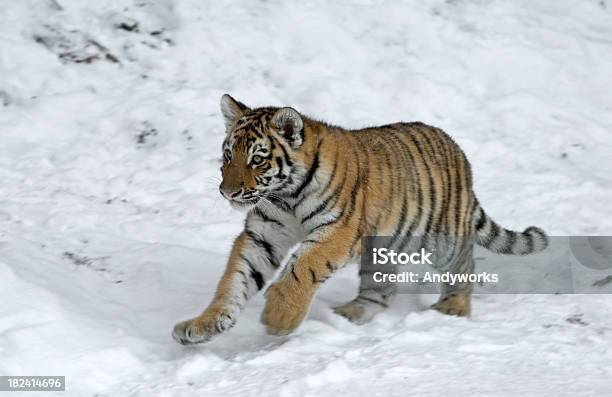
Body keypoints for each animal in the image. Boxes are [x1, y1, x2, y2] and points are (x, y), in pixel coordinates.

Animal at [172, 93, 548, 344]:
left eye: (258, 160)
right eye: (227, 156)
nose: (228, 192)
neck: (286, 194)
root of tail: (457, 150)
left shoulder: (339, 231)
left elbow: (301, 268)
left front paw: (279, 319)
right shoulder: (263, 235)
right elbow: (234, 280)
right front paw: (201, 325)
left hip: (443, 238)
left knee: (464, 264)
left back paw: (453, 308)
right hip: (381, 247)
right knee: (380, 290)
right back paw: (347, 315)